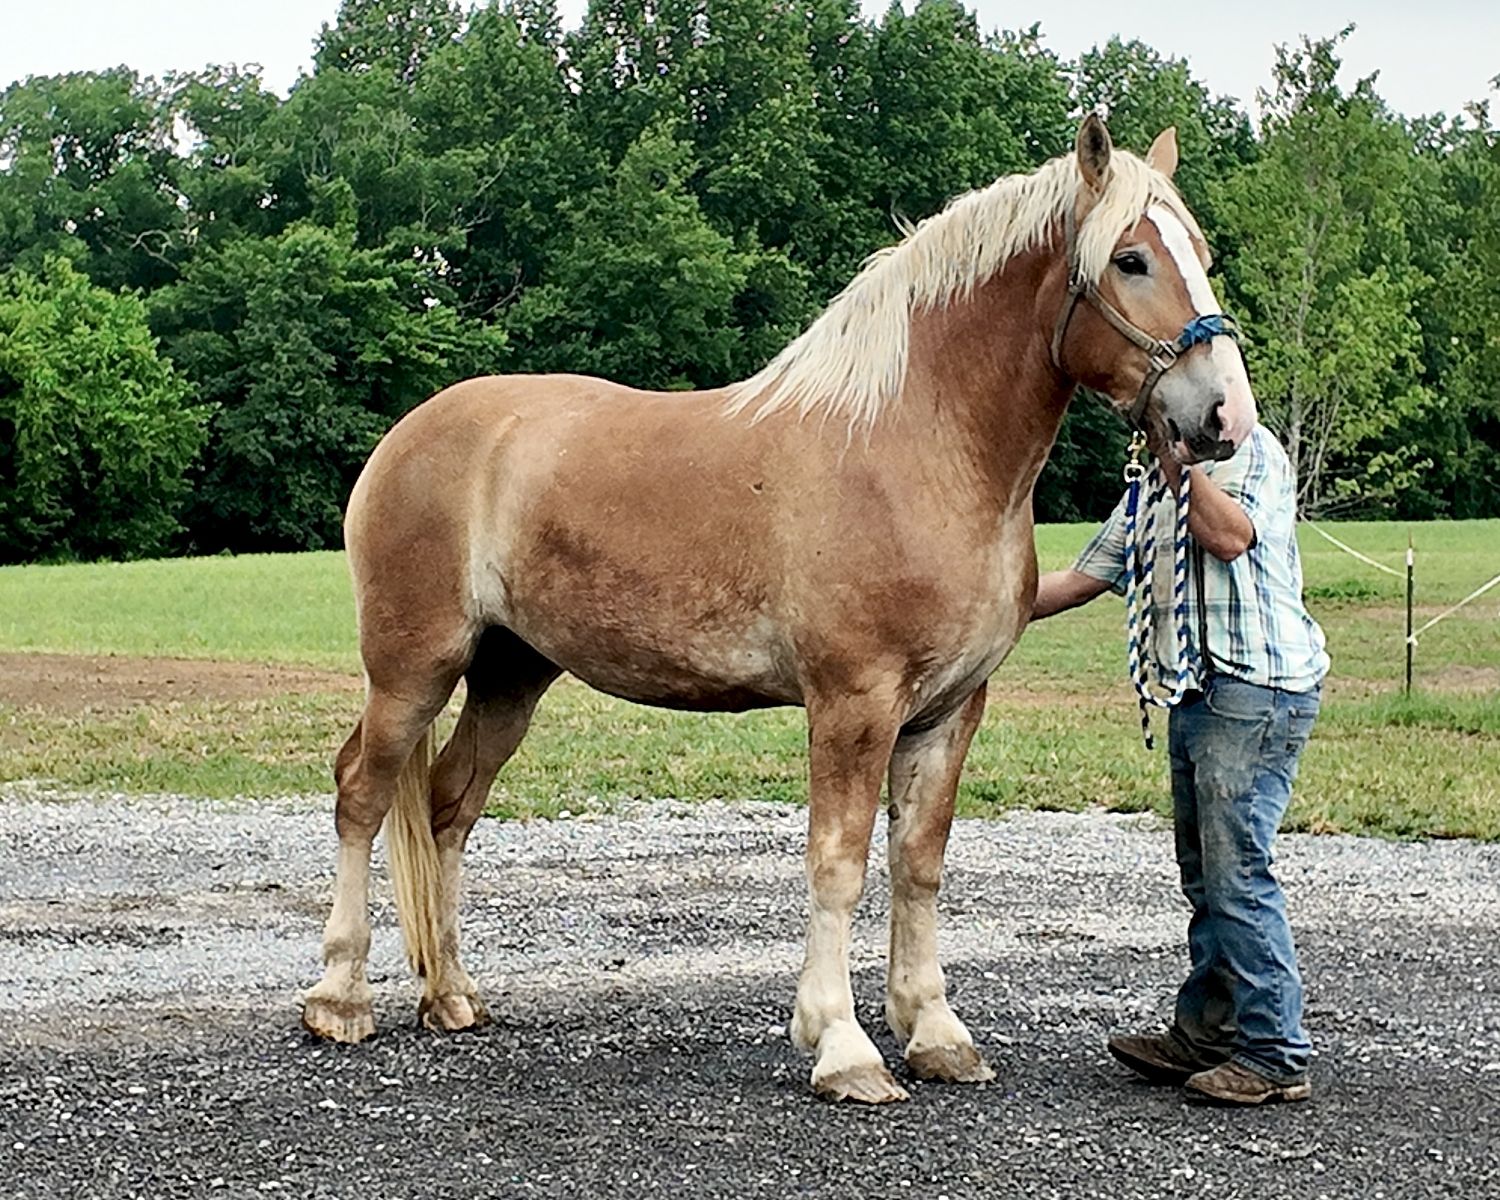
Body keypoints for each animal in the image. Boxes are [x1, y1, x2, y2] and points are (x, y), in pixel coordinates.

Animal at [301, 116, 1257, 1104]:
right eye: (1132, 259)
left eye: (1202, 255)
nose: (1225, 417)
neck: (911, 446)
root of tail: (409, 436)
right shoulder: (853, 703)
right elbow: (837, 863)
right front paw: (842, 1045)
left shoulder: (949, 712)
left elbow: (918, 865)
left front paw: (935, 1032)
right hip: (414, 667)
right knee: (361, 792)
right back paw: (340, 999)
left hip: (509, 674)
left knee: (449, 806)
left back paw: (451, 994)